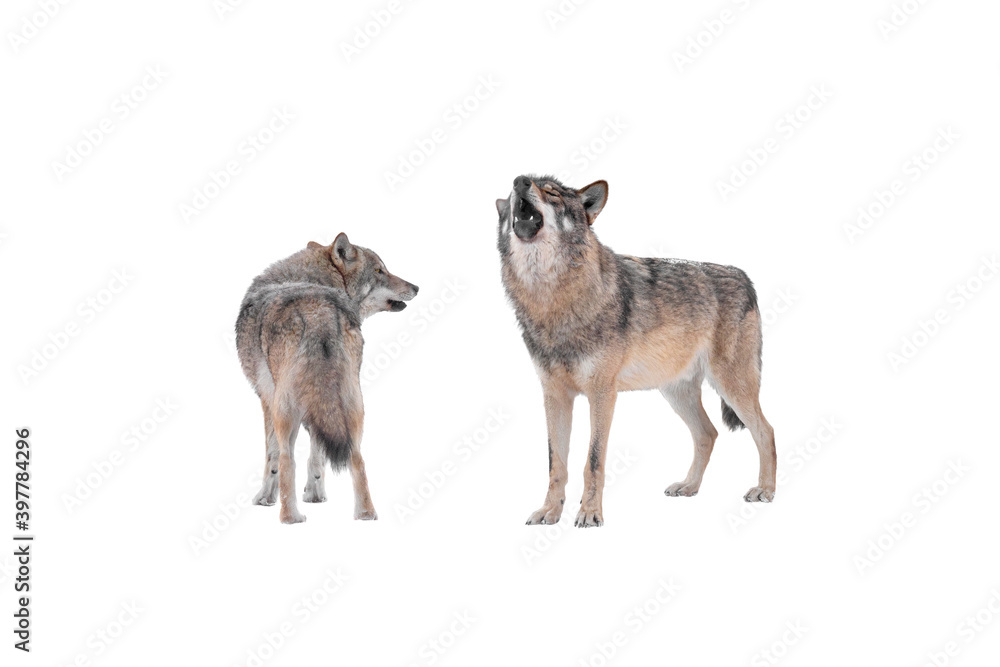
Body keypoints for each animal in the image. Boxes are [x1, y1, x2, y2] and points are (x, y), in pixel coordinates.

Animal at [236, 233, 418, 524]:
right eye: (380, 271)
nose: (416, 287)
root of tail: (318, 311)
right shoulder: (318, 407)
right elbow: (318, 453)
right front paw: (315, 493)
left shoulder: (266, 399)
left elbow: (272, 456)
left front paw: (265, 498)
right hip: (353, 404)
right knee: (357, 458)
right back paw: (365, 514)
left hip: (284, 409)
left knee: (286, 458)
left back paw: (290, 517)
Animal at [496, 175, 775, 527]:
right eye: (513, 191)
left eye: (552, 193)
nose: (519, 181)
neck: (551, 297)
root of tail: (742, 275)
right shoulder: (554, 396)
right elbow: (555, 464)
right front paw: (550, 511)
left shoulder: (602, 393)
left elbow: (593, 461)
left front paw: (590, 514)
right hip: (677, 393)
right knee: (708, 433)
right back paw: (689, 486)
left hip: (732, 387)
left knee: (766, 431)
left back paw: (765, 490)